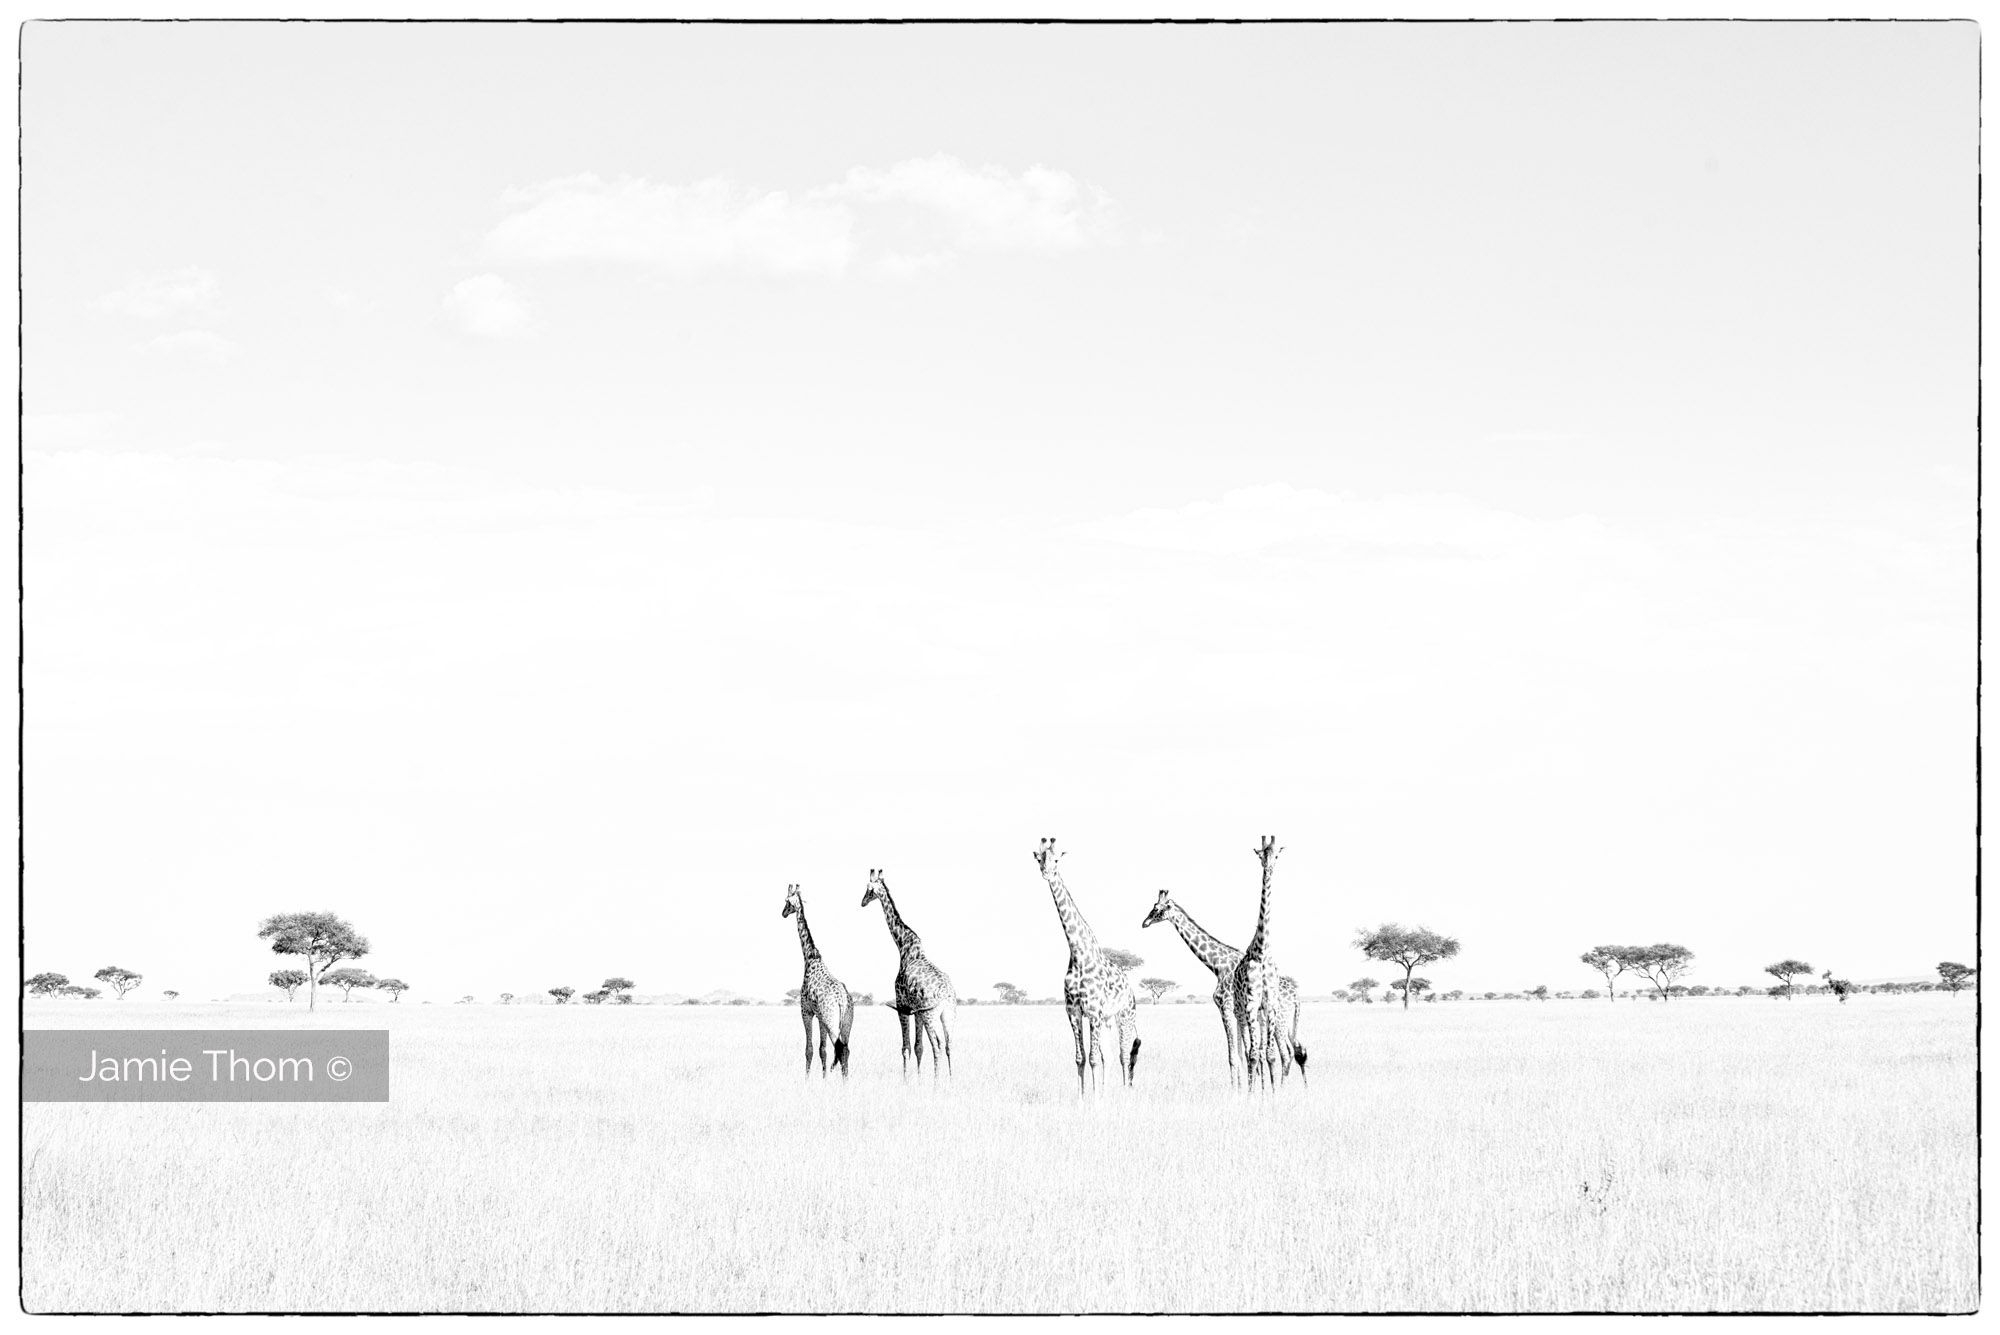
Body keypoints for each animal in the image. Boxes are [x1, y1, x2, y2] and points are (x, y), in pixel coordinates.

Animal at [781, 884, 854, 1078]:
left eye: (786, 901)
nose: (783, 913)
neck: (810, 958)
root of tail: (842, 1000)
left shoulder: (806, 1011)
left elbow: (810, 1049)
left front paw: (807, 1079)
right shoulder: (820, 1018)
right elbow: (823, 1050)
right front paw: (824, 1078)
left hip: (831, 1021)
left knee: (840, 1048)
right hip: (846, 1023)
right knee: (845, 1049)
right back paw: (846, 1081)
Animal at [861, 869, 958, 1078]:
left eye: (868, 888)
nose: (862, 901)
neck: (904, 947)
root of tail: (946, 995)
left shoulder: (902, 1005)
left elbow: (906, 1047)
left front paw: (906, 1080)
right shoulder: (916, 1011)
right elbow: (918, 1047)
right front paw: (919, 1079)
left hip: (931, 1014)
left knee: (937, 1044)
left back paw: (937, 1082)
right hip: (948, 1014)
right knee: (949, 1045)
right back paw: (951, 1079)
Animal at [1032, 838, 1140, 1094]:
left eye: (1057, 859)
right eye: (1039, 859)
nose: (1047, 873)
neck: (1078, 953)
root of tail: (1131, 990)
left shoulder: (1093, 1010)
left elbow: (1093, 1058)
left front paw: (1095, 1100)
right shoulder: (1073, 1010)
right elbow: (1080, 1058)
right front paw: (1084, 1097)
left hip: (1125, 1016)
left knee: (1123, 1054)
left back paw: (1123, 1092)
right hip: (1108, 1020)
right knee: (1109, 1055)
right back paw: (1108, 1092)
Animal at [1142, 889, 1307, 1086]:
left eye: (1156, 908)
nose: (1144, 922)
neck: (1217, 965)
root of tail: (1296, 997)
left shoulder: (1225, 1008)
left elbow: (1234, 1056)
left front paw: (1236, 1089)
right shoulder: (1238, 1013)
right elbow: (1243, 1054)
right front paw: (1244, 1086)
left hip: (1278, 1020)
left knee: (1285, 1053)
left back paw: (1281, 1087)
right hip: (1283, 1022)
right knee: (1294, 1050)